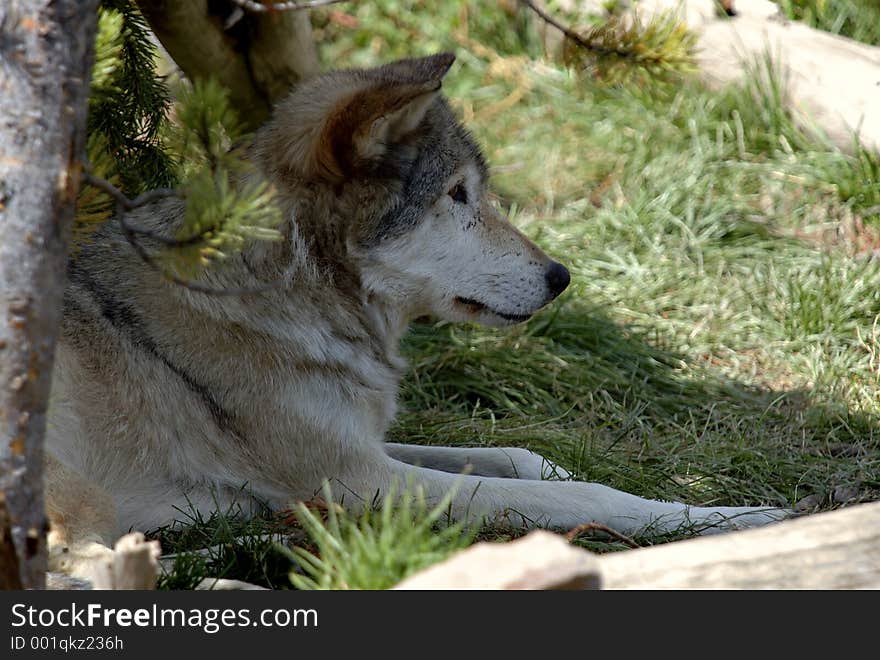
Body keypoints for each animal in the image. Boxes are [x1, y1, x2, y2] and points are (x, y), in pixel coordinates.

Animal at [48, 51, 788, 576]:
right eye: (458, 196)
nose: (561, 278)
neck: (297, 291)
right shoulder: (358, 477)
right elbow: (589, 498)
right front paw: (740, 517)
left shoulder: (369, 446)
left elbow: (522, 457)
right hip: (78, 484)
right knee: (85, 574)